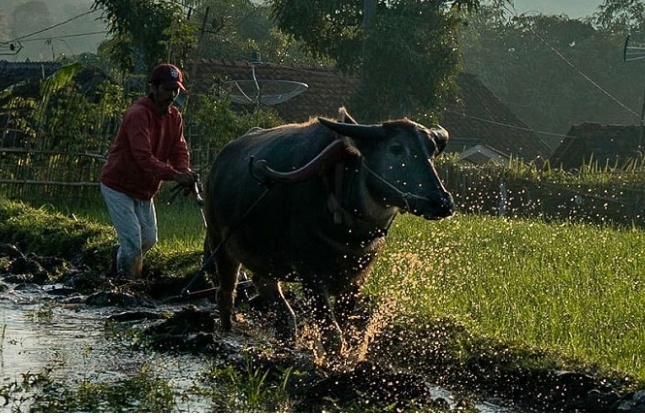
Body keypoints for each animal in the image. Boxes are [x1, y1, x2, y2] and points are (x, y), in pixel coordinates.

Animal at [203, 108, 452, 354]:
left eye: (431, 151)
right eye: (396, 148)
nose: (441, 202)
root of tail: (216, 165)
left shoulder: (357, 277)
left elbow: (343, 325)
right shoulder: (309, 273)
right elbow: (331, 332)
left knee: (265, 284)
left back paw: (286, 335)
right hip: (218, 240)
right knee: (226, 291)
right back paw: (227, 329)